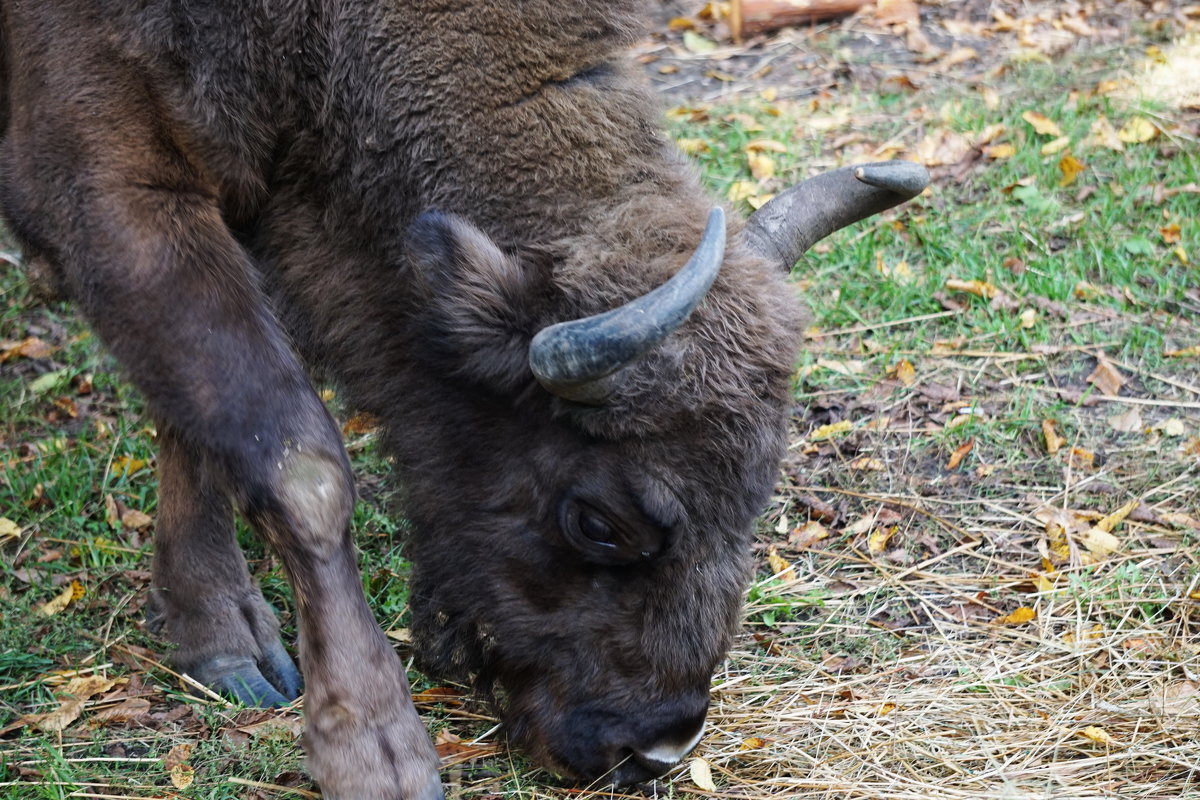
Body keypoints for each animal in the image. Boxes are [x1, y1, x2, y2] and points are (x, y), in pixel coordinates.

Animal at [0, 1, 926, 800]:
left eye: (753, 497)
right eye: (597, 522)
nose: (657, 748)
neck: (324, 45)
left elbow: (197, 420)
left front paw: (222, 640)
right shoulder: (109, 181)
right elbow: (300, 465)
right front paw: (376, 756)